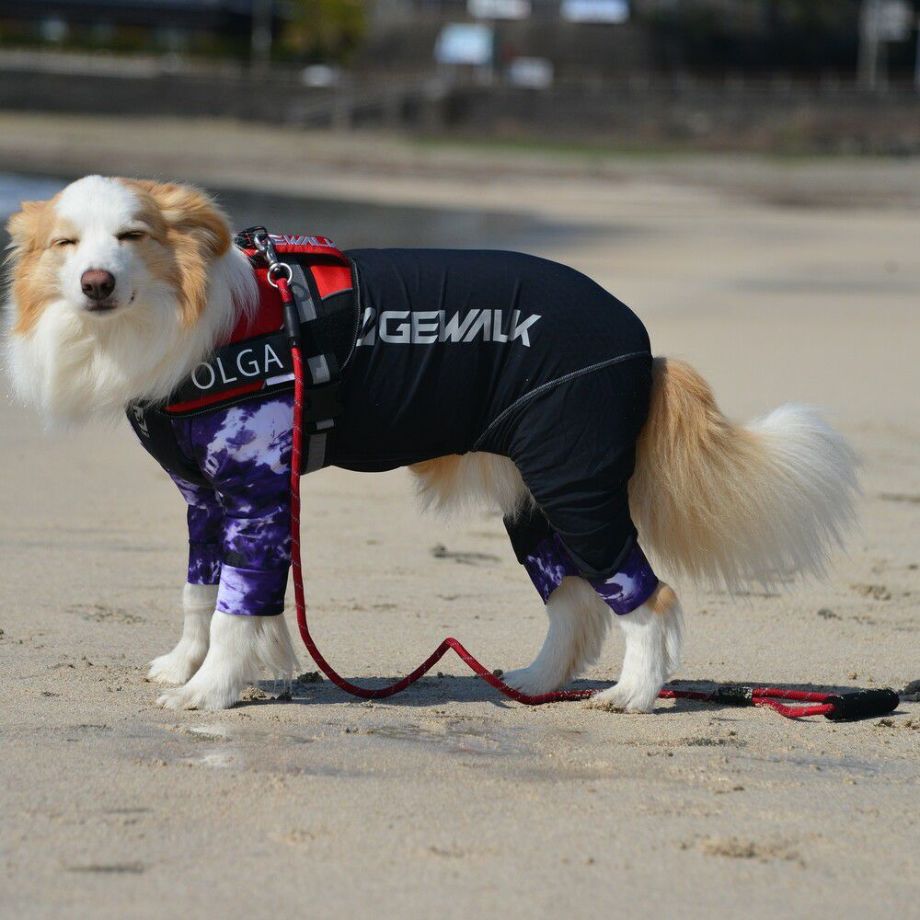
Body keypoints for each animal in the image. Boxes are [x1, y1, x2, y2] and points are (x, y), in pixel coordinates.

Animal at [3, 175, 859, 712]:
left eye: (132, 236)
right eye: (67, 245)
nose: (97, 283)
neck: (195, 320)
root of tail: (643, 347)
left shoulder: (256, 493)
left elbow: (235, 607)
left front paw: (211, 691)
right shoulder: (209, 501)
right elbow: (206, 594)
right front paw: (212, 668)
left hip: (575, 484)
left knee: (645, 594)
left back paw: (636, 695)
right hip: (533, 495)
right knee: (576, 601)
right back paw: (534, 683)